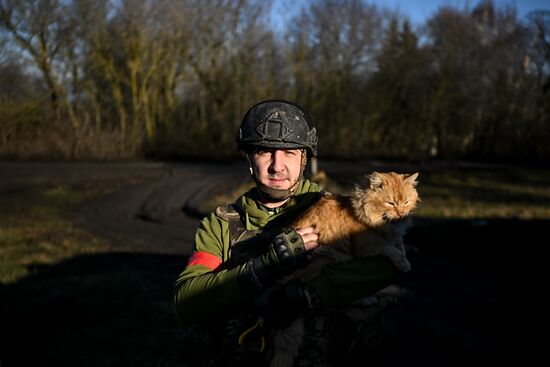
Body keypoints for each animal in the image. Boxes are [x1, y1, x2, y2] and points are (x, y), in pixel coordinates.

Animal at [272, 172, 422, 367]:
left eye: (406, 202)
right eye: (390, 203)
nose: (401, 215)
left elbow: (398, 244)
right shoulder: (366, 249)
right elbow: (390, 249)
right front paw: (403, 262)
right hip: (329, 258)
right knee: (337, 300)